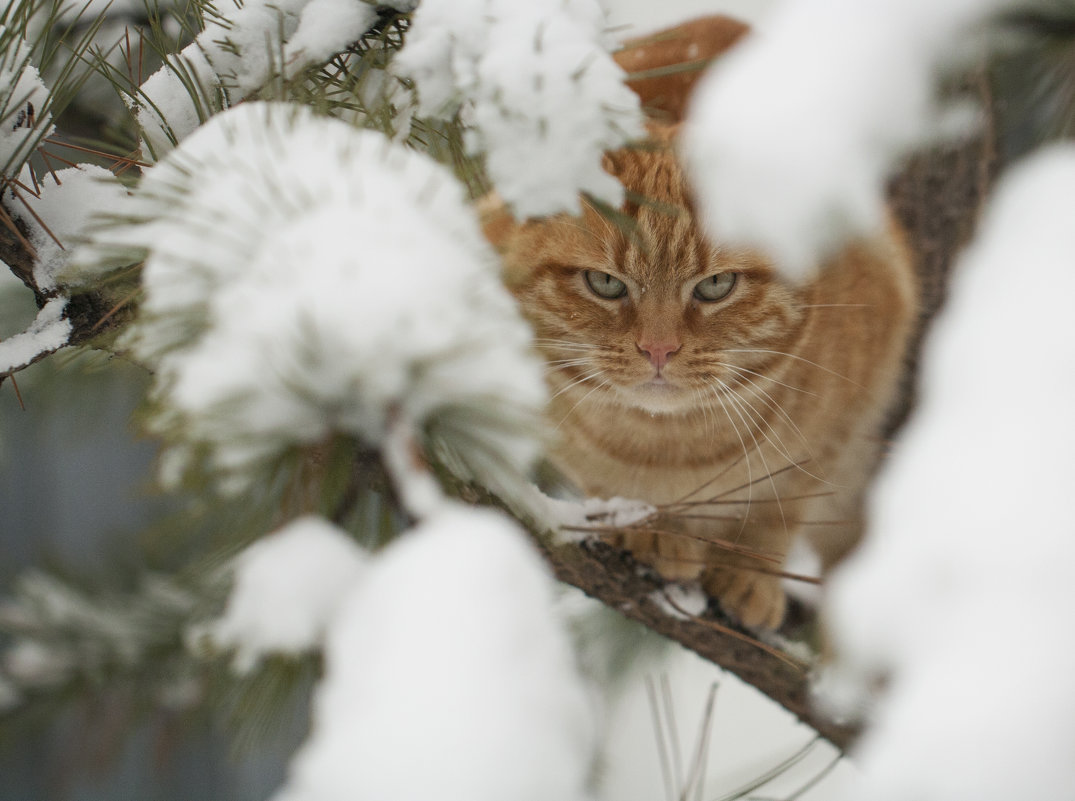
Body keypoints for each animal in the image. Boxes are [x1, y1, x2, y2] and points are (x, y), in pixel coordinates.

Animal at [488, 18, 915, 627]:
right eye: (605, 284)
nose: (658, 350)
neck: (670, 452)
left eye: (716, 286)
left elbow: (779, 510)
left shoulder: (838, 429)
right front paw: (648, 529)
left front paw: (749, 574)